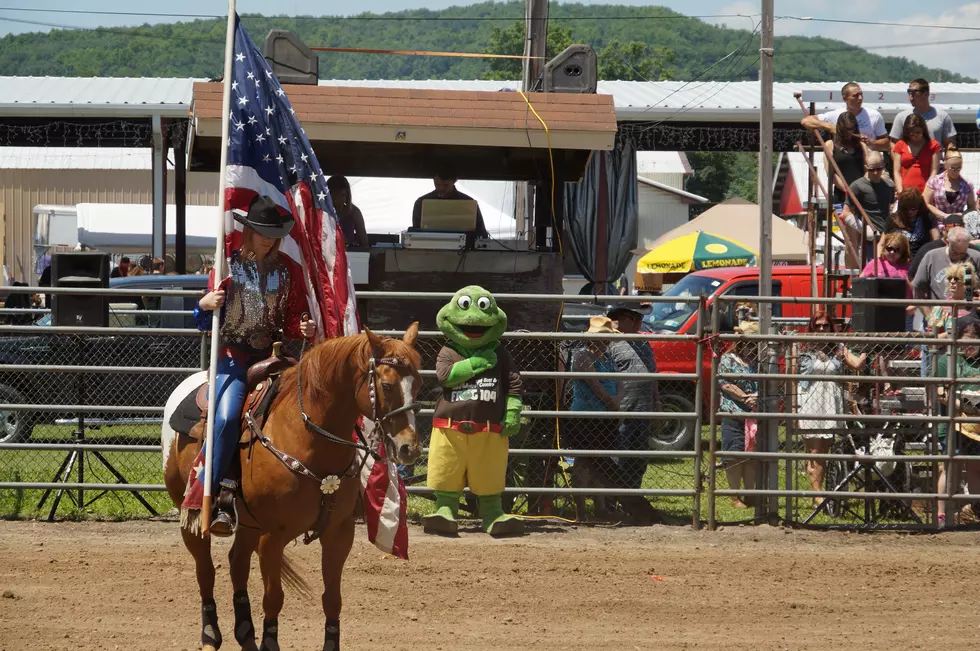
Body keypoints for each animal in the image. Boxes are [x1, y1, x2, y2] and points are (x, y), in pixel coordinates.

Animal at [162, 326, 422, 651]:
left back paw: (245, 633)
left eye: (419, 384)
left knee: (237, 563)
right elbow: (274, 598)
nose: (410, 448)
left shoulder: (339, 533)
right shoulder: (273, 537)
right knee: (205, 569)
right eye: (386, 385)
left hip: (248, 523)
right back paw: (210, 634)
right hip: (191, 512)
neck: (310, 439)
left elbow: (332, 599)